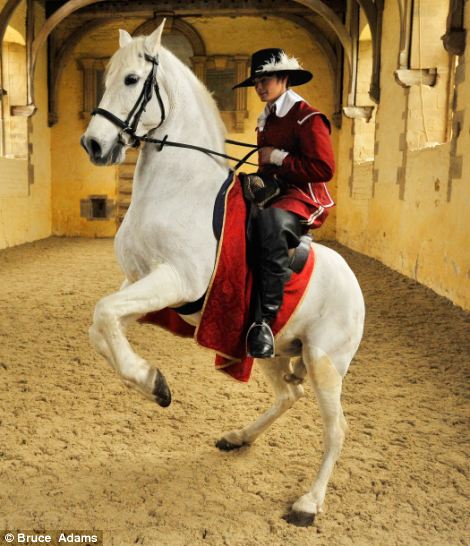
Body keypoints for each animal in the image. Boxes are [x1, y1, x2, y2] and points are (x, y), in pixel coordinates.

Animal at [81, 23, 366, 524]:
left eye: (132, 79)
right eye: (106, 78)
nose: (94, 145)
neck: (178, 188)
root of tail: (354, 283)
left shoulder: (176, 281)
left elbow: (104, 314)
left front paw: (151, 381)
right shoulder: (140, 283)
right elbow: (103, 324)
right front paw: (152, 383)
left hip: (324, 360)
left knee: (337, 428)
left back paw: (308, 503)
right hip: (270, 347)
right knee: (288, 395)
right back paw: (239, 438)